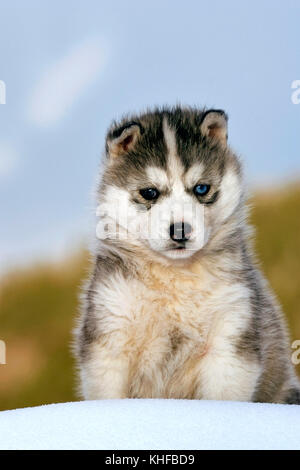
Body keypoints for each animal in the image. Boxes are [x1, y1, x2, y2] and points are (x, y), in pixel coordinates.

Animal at [74, 106, 298, 404]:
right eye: (149, 192)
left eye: (201, 188)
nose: (180, 230)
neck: (174, 277)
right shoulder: (110, 336)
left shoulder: (231, 335)